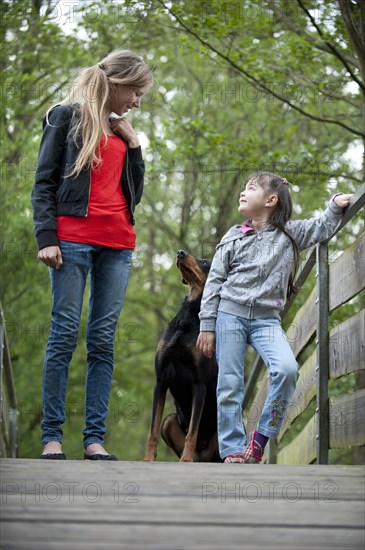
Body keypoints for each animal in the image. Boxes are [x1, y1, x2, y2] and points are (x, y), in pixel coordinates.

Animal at [144, 252, 220, 464]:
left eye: (205, 262)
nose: (180, 253)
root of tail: (205, 456)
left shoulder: (199, 383)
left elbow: (192, 430)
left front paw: (186, 459)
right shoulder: (160, 380)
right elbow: (152, 429)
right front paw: (148, 458)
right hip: (169, 421)